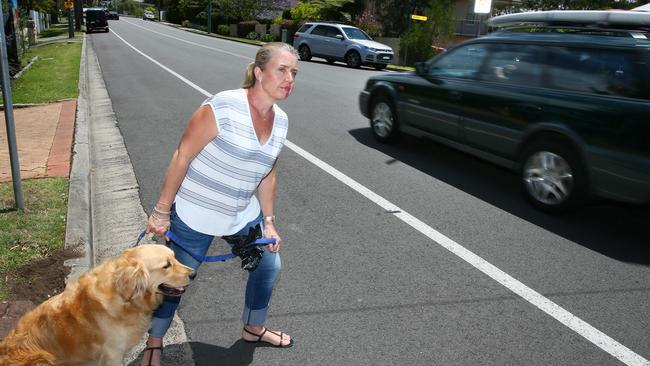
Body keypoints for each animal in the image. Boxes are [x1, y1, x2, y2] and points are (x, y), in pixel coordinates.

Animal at [0, 243, 190, 366]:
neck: (123, 296)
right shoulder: (113, 354)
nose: (193, 273)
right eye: (166, 265)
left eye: (175, 257)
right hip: (43, 359)